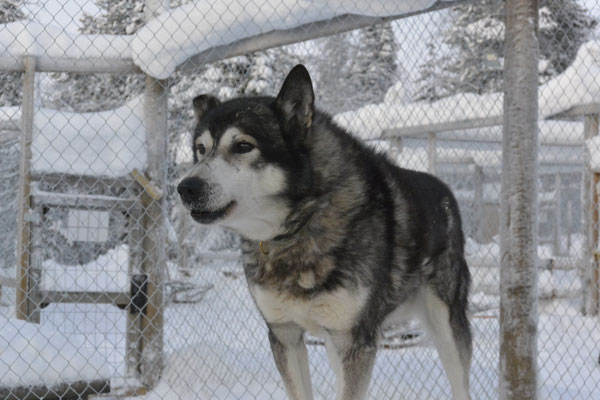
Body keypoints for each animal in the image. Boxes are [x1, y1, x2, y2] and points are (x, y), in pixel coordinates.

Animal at [178, 64, 474, 398]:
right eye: (200, 150)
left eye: (243, 146)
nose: (185, 188)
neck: (300, 226)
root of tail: (445, 192)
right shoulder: (285, 334)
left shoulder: (354, 342)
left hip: (446, 326)